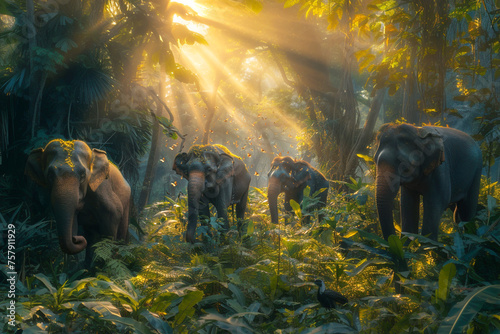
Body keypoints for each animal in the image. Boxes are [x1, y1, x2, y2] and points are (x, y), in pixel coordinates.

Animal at [24, 138, 131, 266]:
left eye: (83, 175)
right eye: (50, 175)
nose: (76, 238)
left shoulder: (103, 190)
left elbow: (112, 216)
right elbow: (73, 221)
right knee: (91, 236)